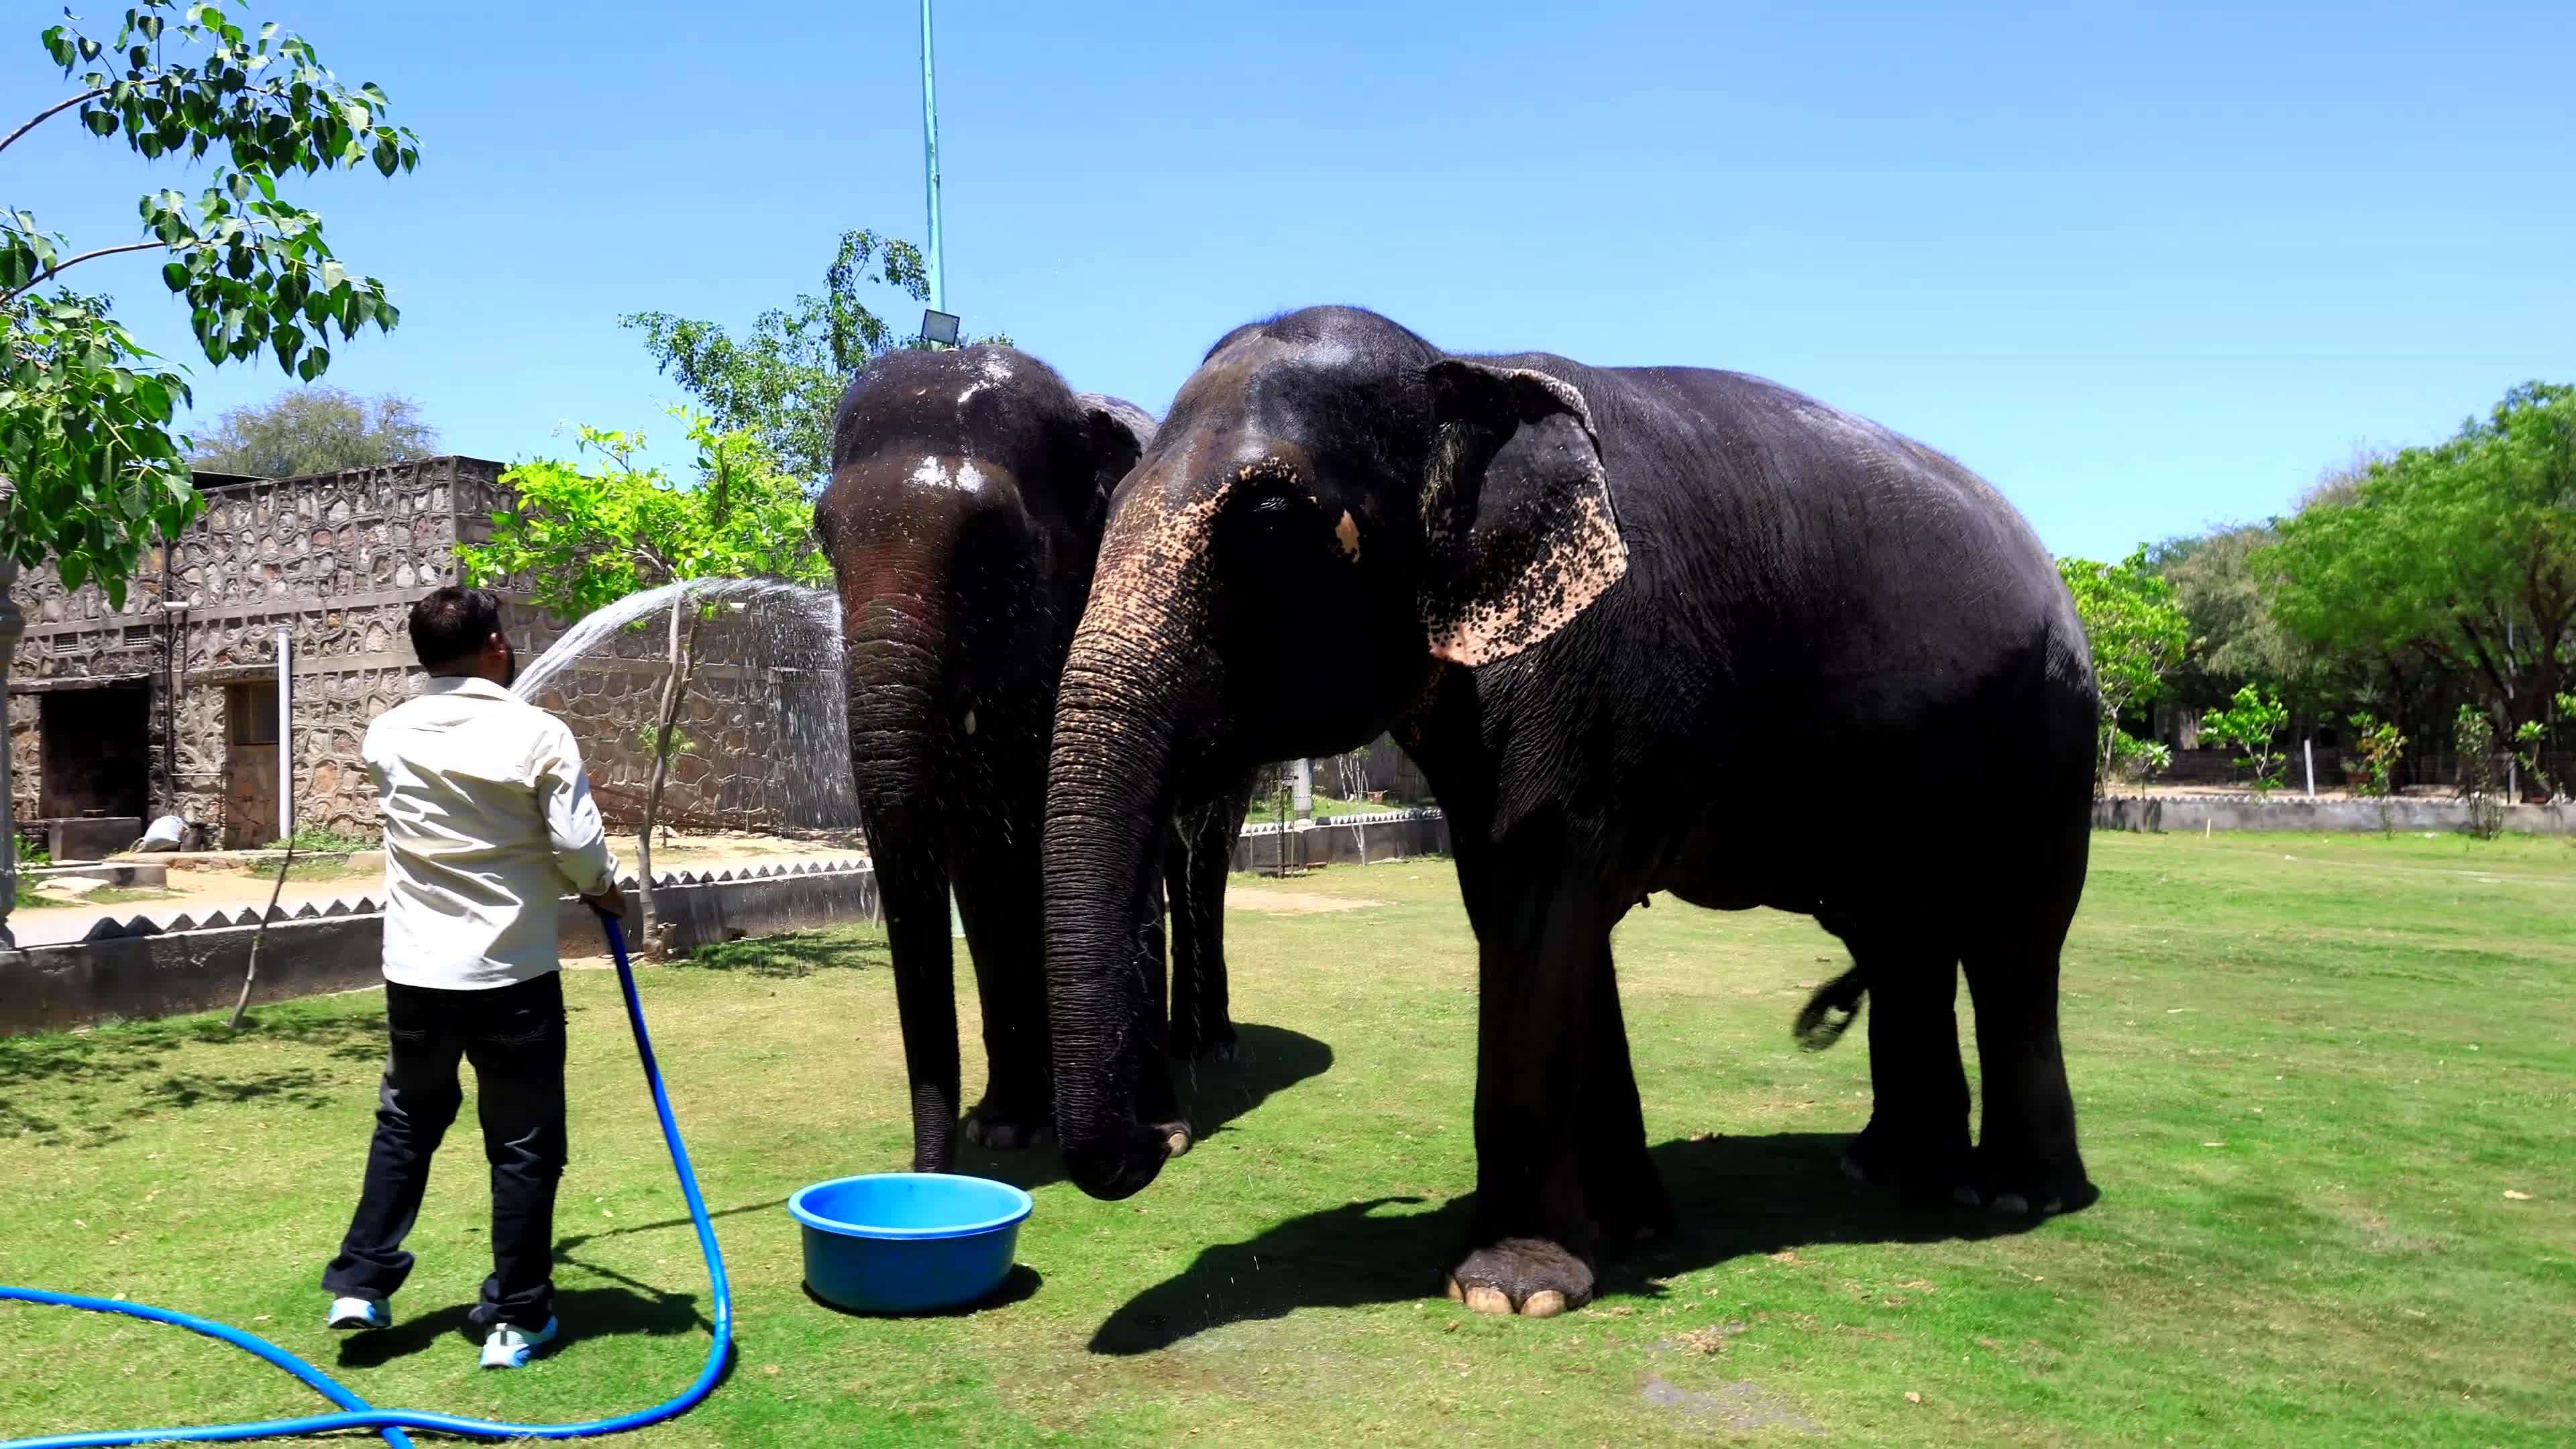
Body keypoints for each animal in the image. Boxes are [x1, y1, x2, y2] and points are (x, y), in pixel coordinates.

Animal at [816, 344, 1257, 1175]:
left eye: (994, 544)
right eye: (823, 539)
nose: (922, 1175)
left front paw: (1163, 1135)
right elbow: (984, 870)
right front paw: (1008, 1130)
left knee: (1202, 856)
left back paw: (1210, 1048)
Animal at [1039, 306, 2097, 1317]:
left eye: (1267, 526)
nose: (1166, 1135)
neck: (1465, 365)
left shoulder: (1586, 665)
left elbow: (1537, 903)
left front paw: (1513, 1289)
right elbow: (1546, 914)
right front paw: (1628, 1233)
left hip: (2049, 734)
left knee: (2015, 939)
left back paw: (2014, 1194)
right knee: (1901, 937)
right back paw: (1891, 1170)